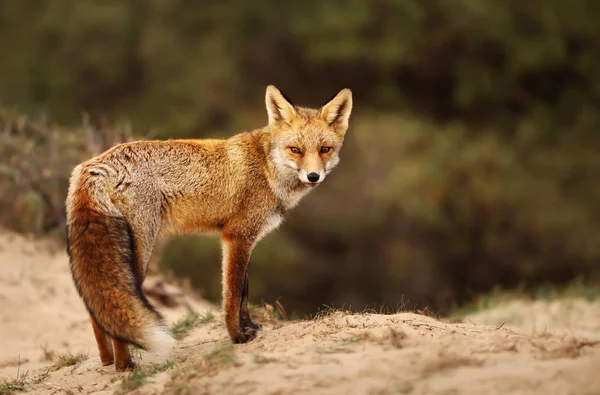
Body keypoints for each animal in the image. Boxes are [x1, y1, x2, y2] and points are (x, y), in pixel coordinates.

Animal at [65, 86, 352, 372]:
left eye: (325, 149)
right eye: (295, 149)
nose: (313, 176)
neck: (267, 168)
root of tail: (94, 164)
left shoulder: (247, 240)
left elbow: (244, 293)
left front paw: (250, 328)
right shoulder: (236, 236)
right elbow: (232, 296)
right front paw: (237, 337)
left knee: (96, 310)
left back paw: (107, 361)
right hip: (139, 253)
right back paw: (125, 366)